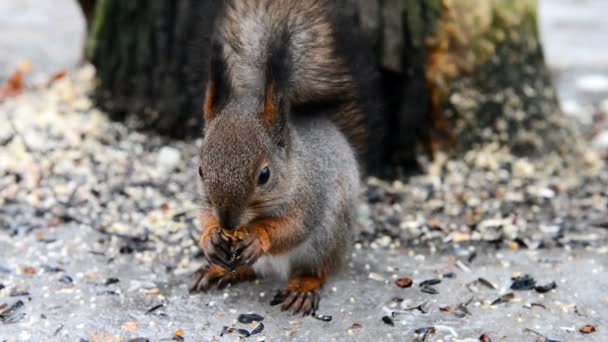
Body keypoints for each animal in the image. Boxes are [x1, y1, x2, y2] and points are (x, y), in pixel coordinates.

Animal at [192, 0, 378, 316]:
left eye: (264, 175)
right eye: (201, 171)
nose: (228, 223)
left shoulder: (309, 198)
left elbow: (291, 229)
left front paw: (258, 237)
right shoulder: (207, 202)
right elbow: (204, 217)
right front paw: (211, 237)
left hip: (326, 240)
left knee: (316, 269)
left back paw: (303, 287)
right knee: (249, 271)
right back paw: (217, 271)